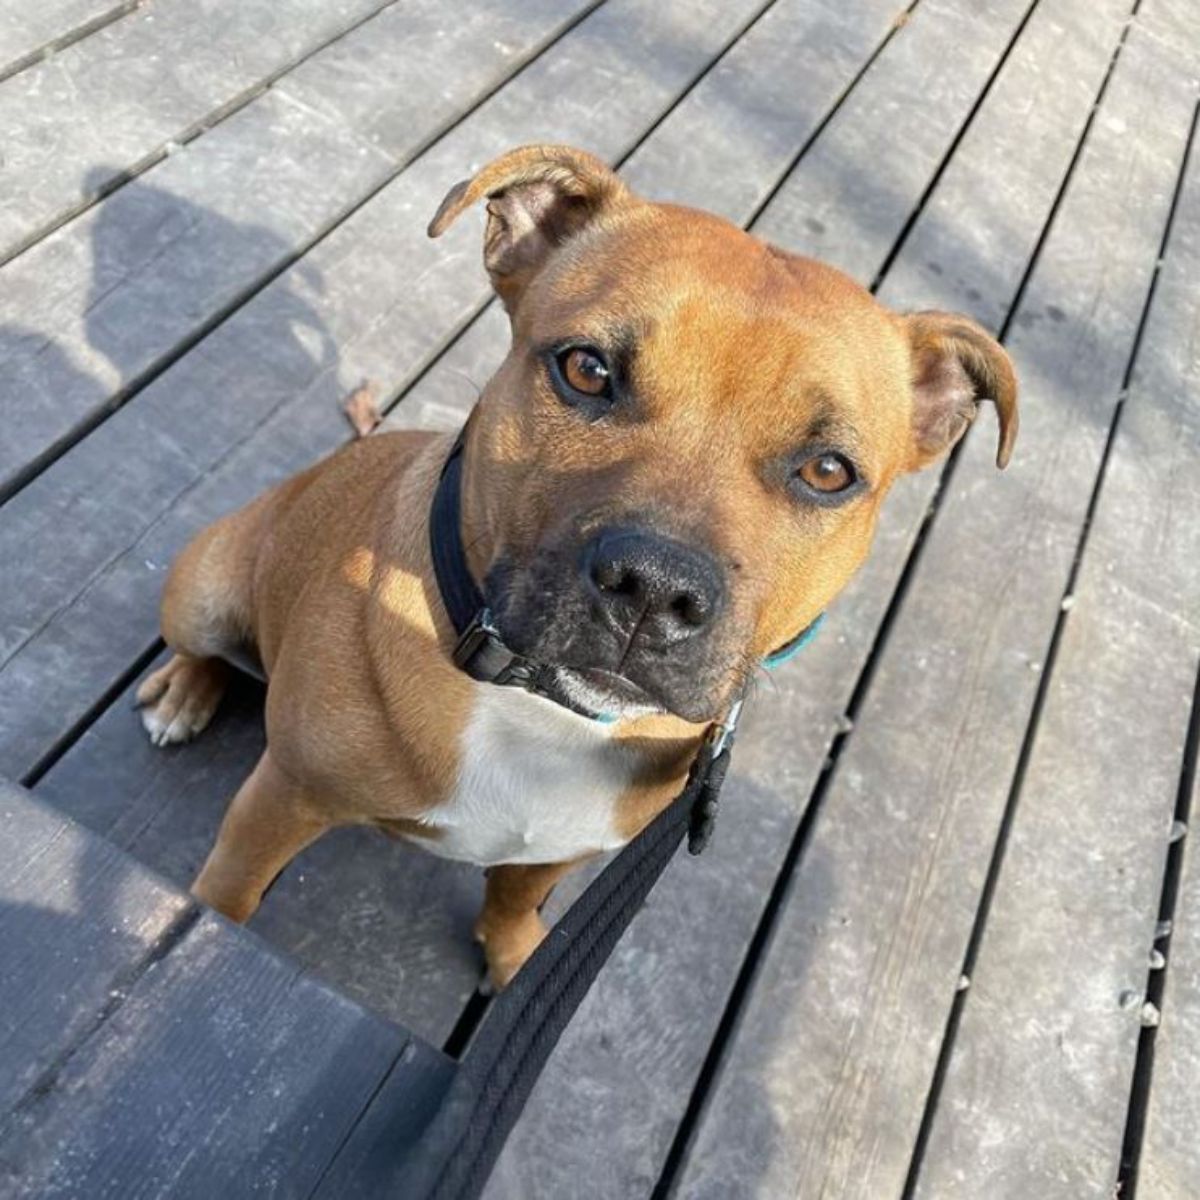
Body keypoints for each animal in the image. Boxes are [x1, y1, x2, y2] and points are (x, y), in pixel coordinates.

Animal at [136, 145, 1017, 988]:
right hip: (206, 583)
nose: (656, 588)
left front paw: (511, 957)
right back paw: (182, 691)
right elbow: (224, 901)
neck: (540, 712)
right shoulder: (279, 804)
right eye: (586, 369)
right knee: (200, 643)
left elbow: (515, 900)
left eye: (829, 471)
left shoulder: (561, 846)